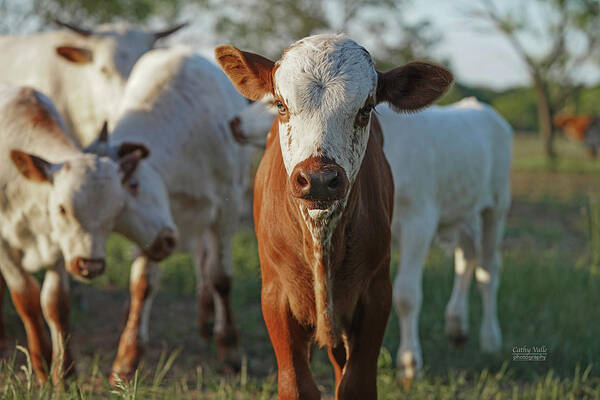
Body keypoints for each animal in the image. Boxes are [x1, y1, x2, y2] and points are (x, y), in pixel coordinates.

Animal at [0, 83, 175, 382]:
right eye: (62, 209)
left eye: (116, 211)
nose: (89, 265)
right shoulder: (5, 248)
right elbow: (26, 298)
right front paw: (42, 365)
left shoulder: (60, 247)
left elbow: (56, 304)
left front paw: (65, 375)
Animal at [85, 45, 250, 380]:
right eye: (111, 218)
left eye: (133, 183)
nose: (164, 245)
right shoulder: (155, 224)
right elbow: (142, 284)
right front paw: (128, 356)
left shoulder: (227, 206)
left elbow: (221, 276)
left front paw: (229, 348)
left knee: (207, 264)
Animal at [216, 33, 450, 396]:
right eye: (280, 105)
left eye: (366, 109)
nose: (318, 179)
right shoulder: (275, 297)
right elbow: (297, 385)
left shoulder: (375, 294)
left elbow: (356, 384)